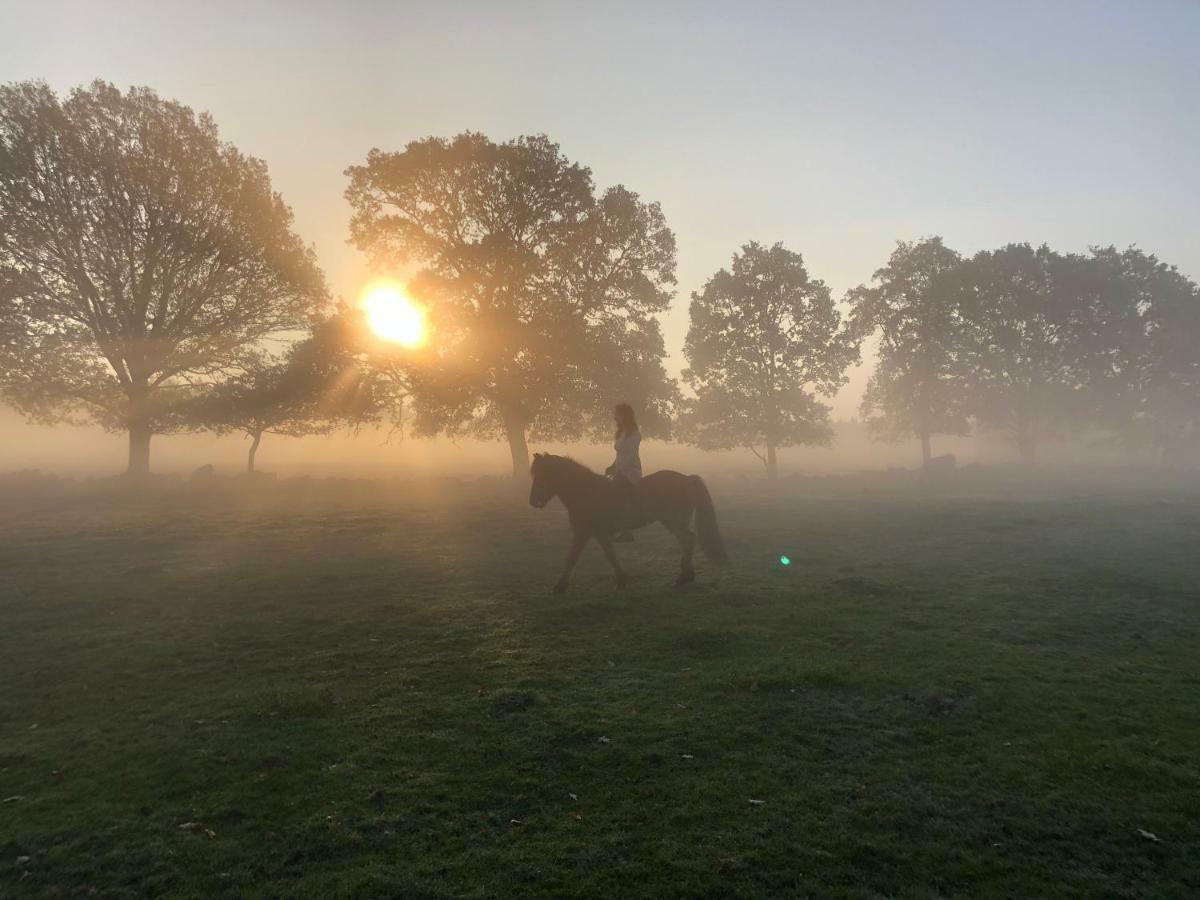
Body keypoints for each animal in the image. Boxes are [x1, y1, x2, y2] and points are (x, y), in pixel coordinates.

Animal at [530, 453, 724, 595]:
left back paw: (683, 577)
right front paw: (621, 579)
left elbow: (580, 557)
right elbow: (598, 554)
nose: (533, 501)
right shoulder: (592, 533)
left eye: (543, 475)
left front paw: (560, 586)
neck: (587, 492)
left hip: (674, 521)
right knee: (687, 541)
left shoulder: (587, 532)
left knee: (688, 540)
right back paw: (687, 575)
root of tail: (687, 479)